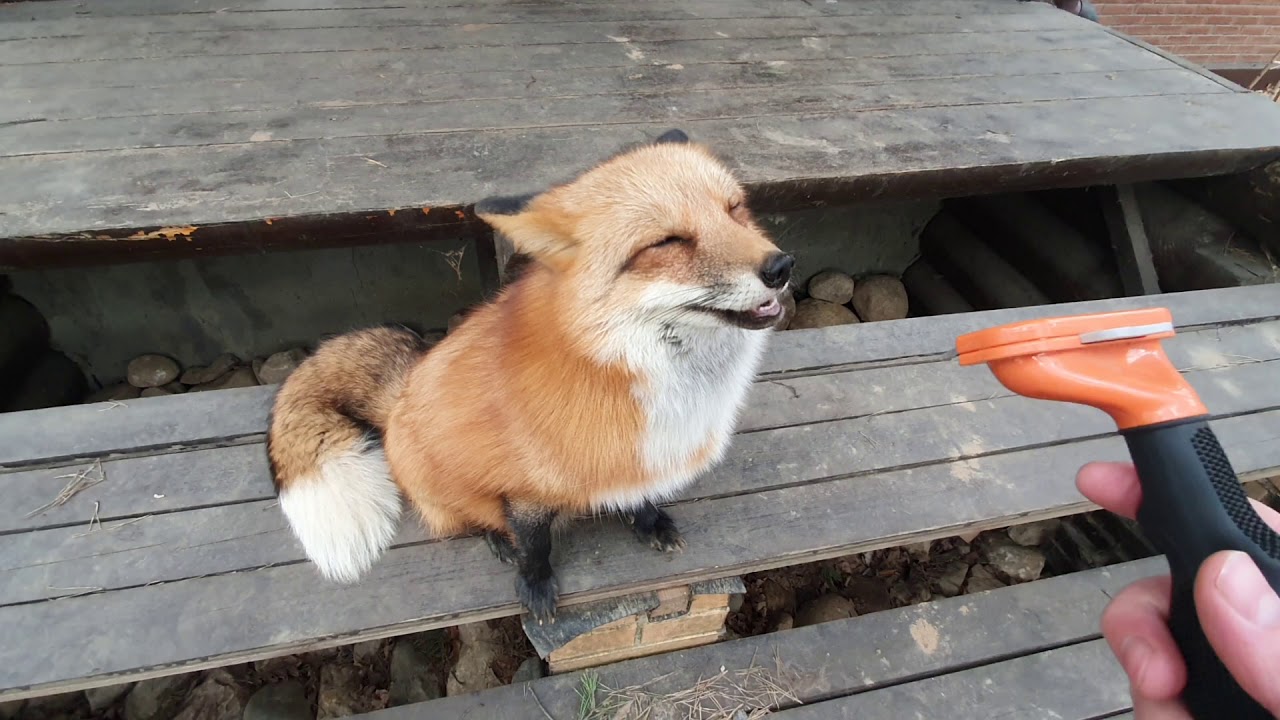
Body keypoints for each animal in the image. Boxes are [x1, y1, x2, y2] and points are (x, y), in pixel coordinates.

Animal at [266, 128, 794, 623]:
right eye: (666, 242)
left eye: (734, 209)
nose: (782, 265)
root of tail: (403, 389)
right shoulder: (526, 486)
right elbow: (535, 543)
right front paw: (535, 584)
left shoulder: (634, 463)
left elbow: (636, 497)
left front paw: (648, 521)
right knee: (469, 518)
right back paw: (495, 538)